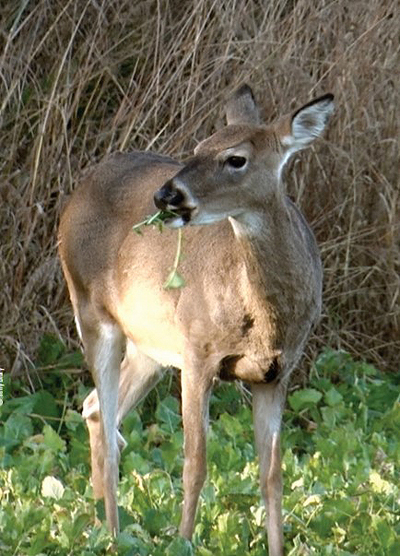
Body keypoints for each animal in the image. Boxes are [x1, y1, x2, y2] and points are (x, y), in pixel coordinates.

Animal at [57, 83, 332, 556]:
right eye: (200, 146)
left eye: (236, 158)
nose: (166, 195)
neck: (266, 319)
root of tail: (78, 193)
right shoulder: (199, 352)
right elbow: (195, 463)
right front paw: (183, 541)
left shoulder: (277, 372)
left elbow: (273, 474)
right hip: (91, 313)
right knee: (108, 428)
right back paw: (111, 534)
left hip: (150, 345)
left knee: (95, 411)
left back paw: (99, 525)